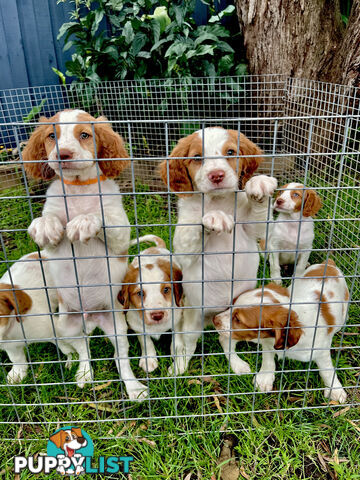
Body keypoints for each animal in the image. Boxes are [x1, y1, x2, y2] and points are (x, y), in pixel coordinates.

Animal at [22, 109, 147, 402]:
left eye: (85, 135)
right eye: (51, 136)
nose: (63, 154)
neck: (79, 188)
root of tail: (90, 318)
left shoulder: (120, 234)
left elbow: (101, 216)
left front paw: (84, 222)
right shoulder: (54, 246)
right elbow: (48, 222)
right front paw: (44, 225)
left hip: (117, 326)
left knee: (120, 358)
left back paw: (134, 388)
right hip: (66, 325)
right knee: (83, 349)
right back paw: (84, 374)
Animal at [118, 234, 183, 374]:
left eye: (166, 290)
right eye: (140, 293)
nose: (157, 315)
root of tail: (156, 248)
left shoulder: (179, 316)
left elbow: (177, 339)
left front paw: (178, 358)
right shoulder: (136, 324)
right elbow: (145, 341)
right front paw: (149, 360)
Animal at [159, 126, 278, 376]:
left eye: (230, 152)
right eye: (196, 157)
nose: (216, 175)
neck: (219, 201)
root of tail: (212, 317)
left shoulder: (253, 229)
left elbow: (257, 217)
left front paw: (259, 184)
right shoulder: (183, 247)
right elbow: (195, 226)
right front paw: (212, 218)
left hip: (231, 319)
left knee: (226, 342)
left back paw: (238, 365)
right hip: (192, 321)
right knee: (187, 345)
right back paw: (178, 367)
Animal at [214, 260, 348, 404]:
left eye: (238, 319)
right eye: (232, 305)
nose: (214, 320)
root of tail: (328, 263)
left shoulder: (320, 350)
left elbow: (327, 370)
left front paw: (336, 390)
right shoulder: (267, 343)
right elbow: (267, 359)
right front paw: (264, 378)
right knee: (224, 341)